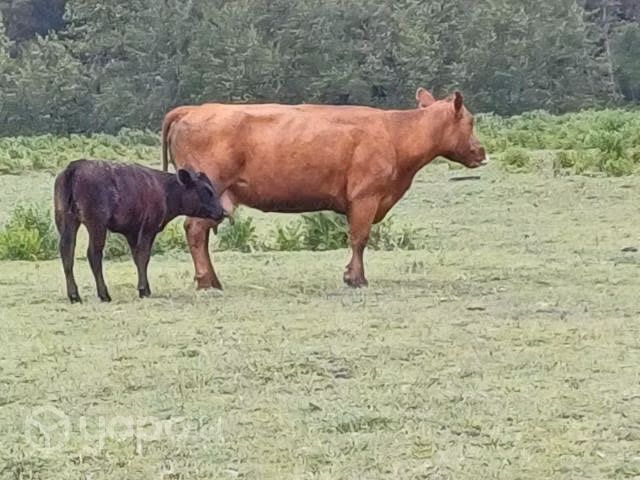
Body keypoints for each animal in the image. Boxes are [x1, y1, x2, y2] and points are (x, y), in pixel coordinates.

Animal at [53, 158, 228, 303]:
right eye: (207, 190)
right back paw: (104, 294)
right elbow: (144, 256)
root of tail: (76, 166)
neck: (164, 189)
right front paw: (144, 290)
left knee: (67, 251)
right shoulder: (149, 227)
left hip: (66, 221)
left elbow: (137, 257)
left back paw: (74, 295)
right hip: (97, 225)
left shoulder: (132, 231)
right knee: (93, 254)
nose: (222, 211)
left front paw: (145, 287)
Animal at [161, 87, 488, 289]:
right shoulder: (366, 196)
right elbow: (359, 238)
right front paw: (356, 278)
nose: (481, 152)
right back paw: (206, 280)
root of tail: (193, 110)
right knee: (195, 231)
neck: (395, 133)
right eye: (471, 120)